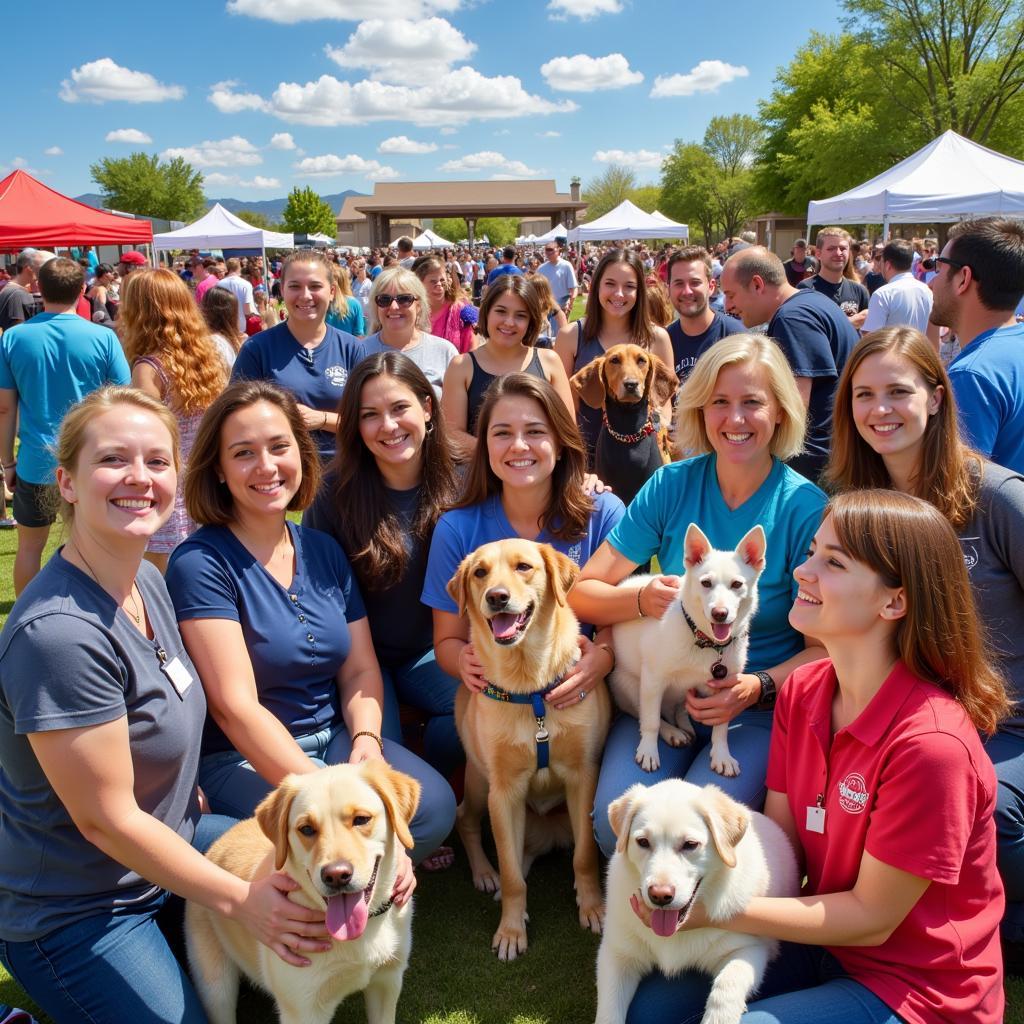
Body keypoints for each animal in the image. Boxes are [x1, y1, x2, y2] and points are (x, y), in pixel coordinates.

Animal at [185, 765, 419, 1019]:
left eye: (361, 819)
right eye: (306, 829)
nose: (336, 875)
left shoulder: (387, 982)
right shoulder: (303, 1010)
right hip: (217, 989)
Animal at [450, 540, 610, 962]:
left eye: (524, 567)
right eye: (480, 573)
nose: (497, 597)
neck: (530, 686)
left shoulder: (583, 778)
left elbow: (585, 856)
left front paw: (593, 908)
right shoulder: (504, 793)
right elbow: (511, 875)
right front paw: (510, 930)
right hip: (479, 785)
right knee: (468, 821)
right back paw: (486, 875)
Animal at [593, 778, 798, 1019]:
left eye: (690, 844)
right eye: (643, 842)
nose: (659, 895)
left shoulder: (749, 949)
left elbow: (726, 987)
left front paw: (718, 1018)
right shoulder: (616, 955)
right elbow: (608, 1011)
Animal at [606, 524, 770, 770]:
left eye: (737, 584)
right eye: (706, 583)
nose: (720, 614)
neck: (705, 641)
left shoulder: (725, 691)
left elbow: (721, 728)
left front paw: (721, 755)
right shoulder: (652, 681)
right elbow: (651, 721)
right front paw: (648, 750)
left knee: (678, 709)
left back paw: (683, 726)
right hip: (629, 686)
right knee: (647, 713)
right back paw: (671, 732)